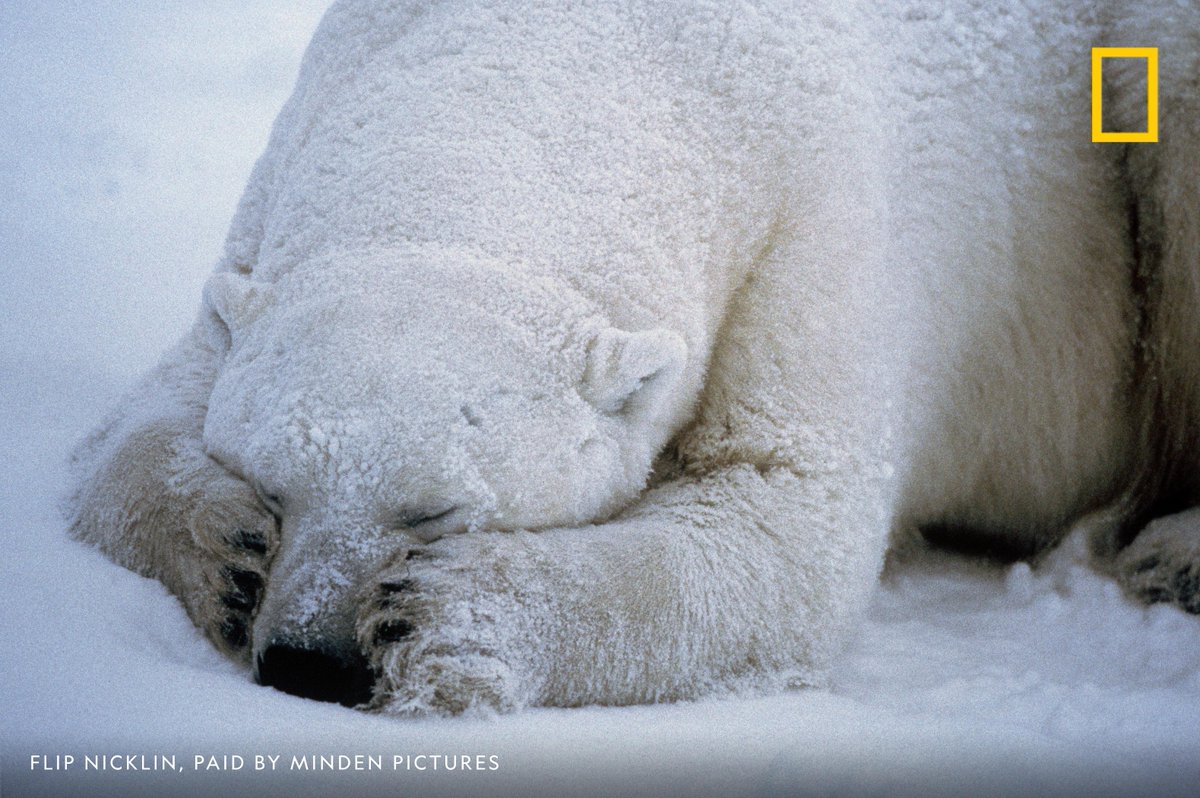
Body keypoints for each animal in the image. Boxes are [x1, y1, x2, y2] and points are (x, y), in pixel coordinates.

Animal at [68, 0, 1200, 710]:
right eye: (272, 483)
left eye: (436, 511)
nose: (310, 661)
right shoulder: (278, 192)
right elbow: (136, 421)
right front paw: (224, 555)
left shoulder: (818, 229)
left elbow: (784, 517)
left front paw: (446, 619)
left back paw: (1171, 552)